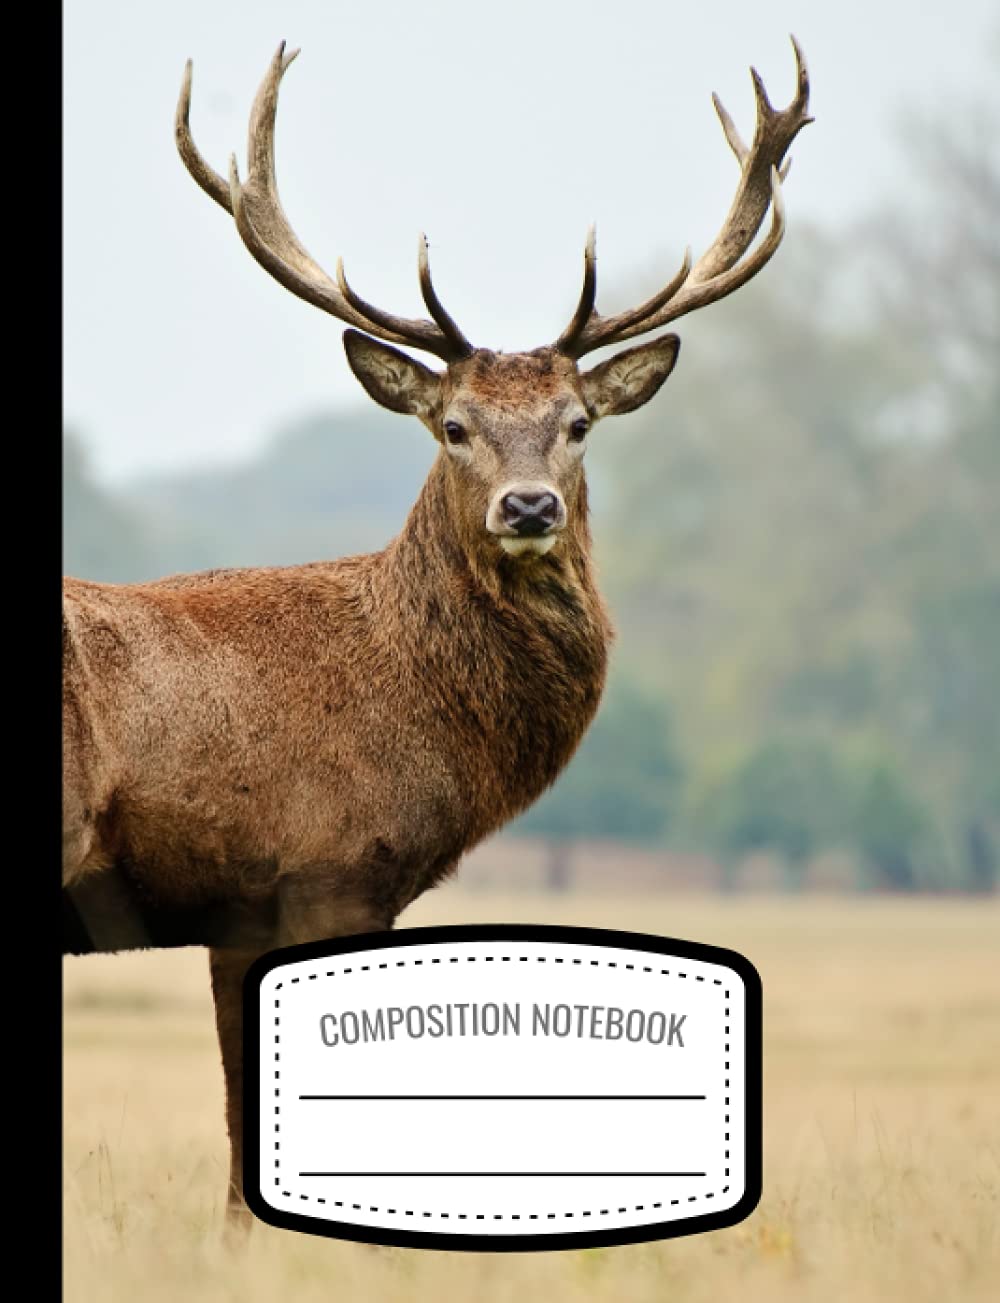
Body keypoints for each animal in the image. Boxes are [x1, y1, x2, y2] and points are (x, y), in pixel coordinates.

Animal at [62, 38, 812, 1228]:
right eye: (453, 426)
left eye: (578, 423)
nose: (529, 506)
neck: (415, 703)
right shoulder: (331, 863)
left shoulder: (241, 910)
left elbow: (236, 1155)